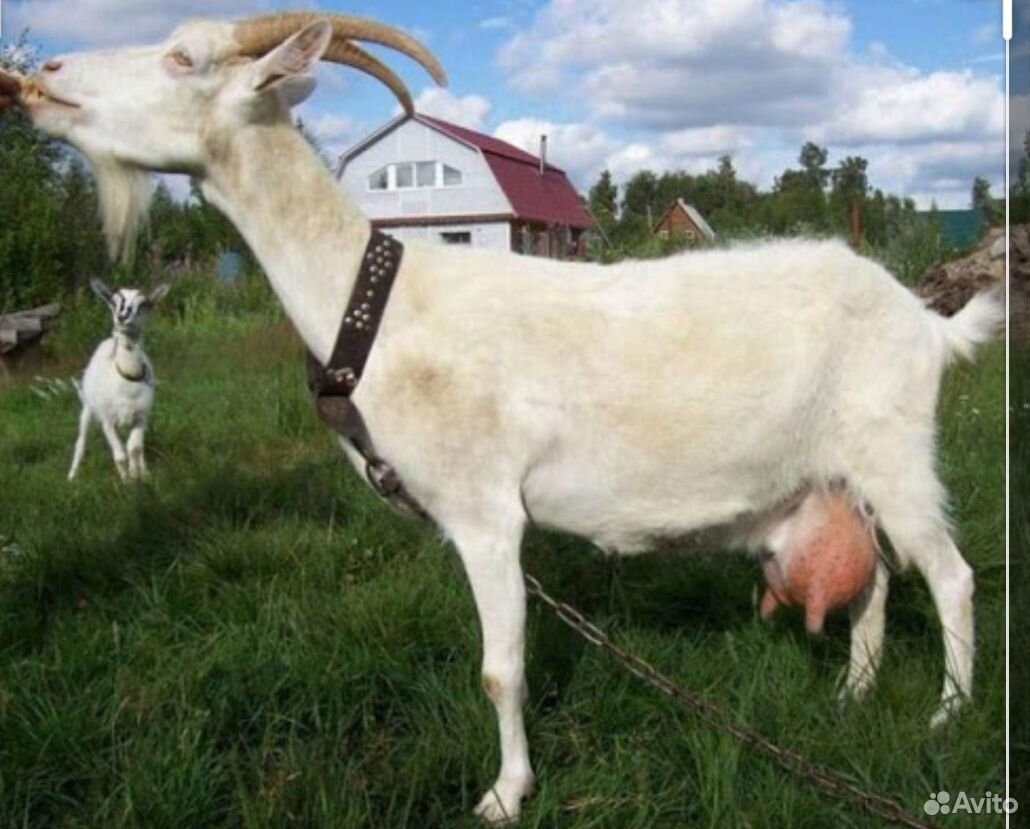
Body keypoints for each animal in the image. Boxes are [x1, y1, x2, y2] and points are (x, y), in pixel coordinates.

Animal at [68, 279, 168, 481]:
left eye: (144, 304)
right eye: (114, 302)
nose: (122, 317)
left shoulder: (141, 417)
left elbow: (135, 448)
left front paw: (138, 476)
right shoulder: (107, 421)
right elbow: (120, 455)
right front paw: (127, 482)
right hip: (87, 409)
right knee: (80, 443)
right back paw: (72, 477)